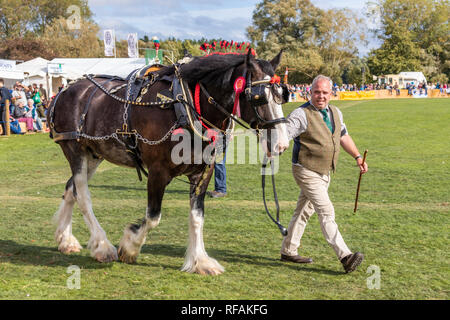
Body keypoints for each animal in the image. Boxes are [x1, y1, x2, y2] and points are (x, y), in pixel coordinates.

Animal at [47, 50, 288, 276]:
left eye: (282, 95)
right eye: (258, 97)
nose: (282, 144)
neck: (186, 106)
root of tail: (65, 90)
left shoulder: (203, 172)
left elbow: (197, 217)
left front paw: (199, 261)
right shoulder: (158, 171)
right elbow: (153, 217)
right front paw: (130, 247)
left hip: (94, 155)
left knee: (71, 189)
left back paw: (65, 239)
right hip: (74, 150)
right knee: (83, 196)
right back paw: (102, 246)